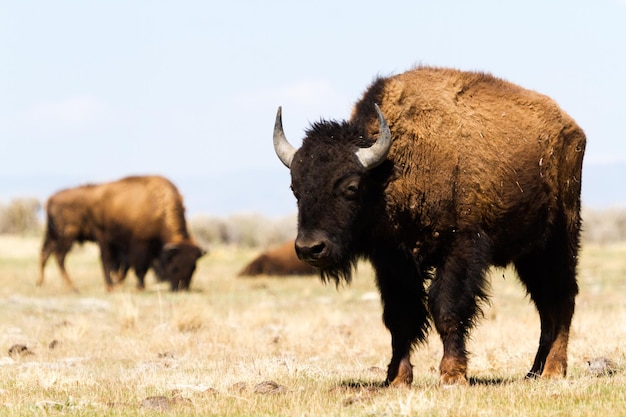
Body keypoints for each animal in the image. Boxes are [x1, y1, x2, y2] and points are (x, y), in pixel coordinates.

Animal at [38, 176, 205, 292]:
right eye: (175, 266)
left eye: (194, 268)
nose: (181, 288)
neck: (159, 207)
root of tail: (50, 200)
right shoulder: (139, 245)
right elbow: (138, 267)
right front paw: (139, 287)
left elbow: (127, 267)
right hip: (73, 237)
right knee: (64, 257)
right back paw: (78, 287)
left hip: (54, 236)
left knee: (45, 253)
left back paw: (40, 282)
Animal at [272, 66, 584, 386]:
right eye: (295, 188)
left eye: (351, 187)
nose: (310, 248)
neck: (392, 169)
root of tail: (572, 129)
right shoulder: (392, 261)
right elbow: (400, 317)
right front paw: (397, 378)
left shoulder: (460, 248)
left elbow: (446, 308)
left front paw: (453, 374)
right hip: (529, 254)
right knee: (545, 305)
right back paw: (533, 372)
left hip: (560, 239)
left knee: (562, 298)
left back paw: (553, 370)